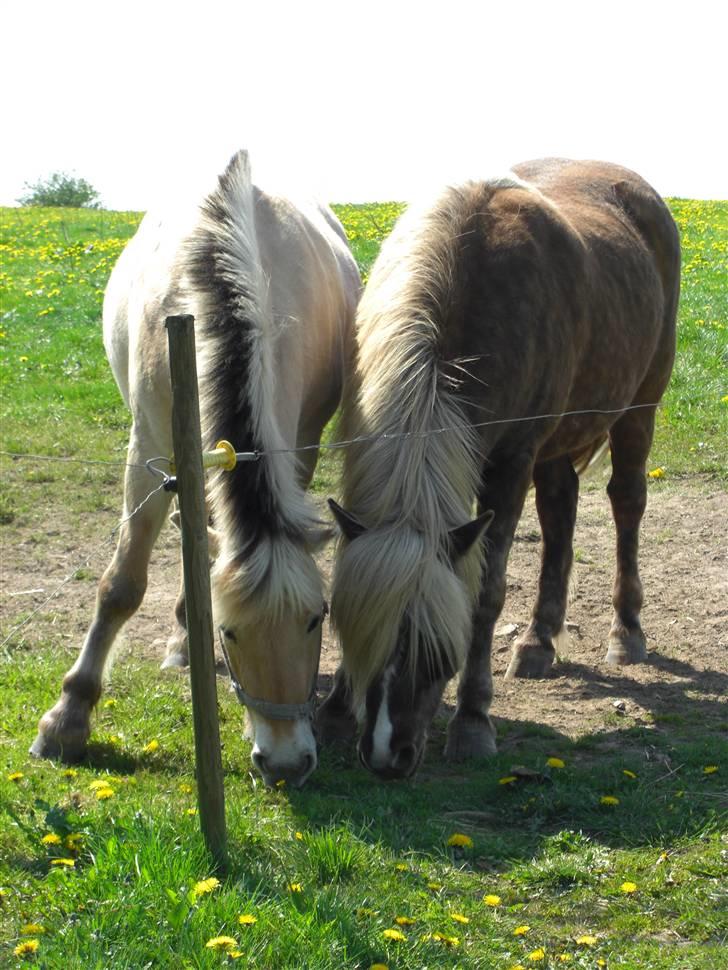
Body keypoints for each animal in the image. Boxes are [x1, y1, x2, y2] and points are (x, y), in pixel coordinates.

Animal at [31, 149, 362, 788]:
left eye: (317, 618)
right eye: (231, 632)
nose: (286, 762)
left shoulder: (297, 447)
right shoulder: (152, 450)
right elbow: (121, 586)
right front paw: (68, 718)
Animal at [322, 159, 680, 780]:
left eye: (437, 651)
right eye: (365, 633)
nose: (389, 756)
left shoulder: (509, 464)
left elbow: (487, 593)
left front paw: (472, 721)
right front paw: (339, 704)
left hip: (640, 405)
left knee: (627, 501)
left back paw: (626, 631)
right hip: (560, 440)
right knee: (560, 512)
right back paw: (538, 641)